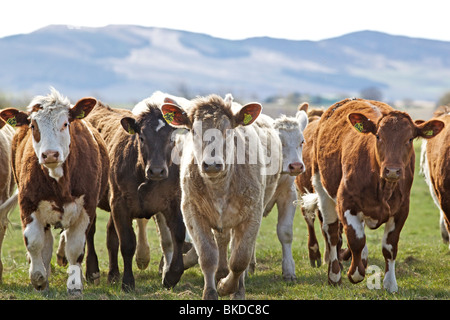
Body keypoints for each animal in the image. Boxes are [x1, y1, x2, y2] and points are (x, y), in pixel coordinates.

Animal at [0, 89, 109, 294]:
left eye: (65, 123)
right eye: (33, 125)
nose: (50, 154)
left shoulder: (86, 209)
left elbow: (75, 248)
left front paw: (75, 285)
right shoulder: (28, 205)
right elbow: (34, 242)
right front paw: (39, 278)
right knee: (47, 241)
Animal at [161, 94, 282, 298]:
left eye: (228, 130)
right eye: (194, 131)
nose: (211, 164)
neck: (219, 188)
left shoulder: (252, 215)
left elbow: (240, 259)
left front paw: (228, 287)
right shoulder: (192, 213)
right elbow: (208, 255)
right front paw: (210, 291)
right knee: (221, 242)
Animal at [302, 98, 442, 292]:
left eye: (409, 139)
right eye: (378, 136)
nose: (393, 170)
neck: (382, 187)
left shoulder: (401, 209)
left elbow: (389, 246)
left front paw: (390, 283)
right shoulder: (346, 203)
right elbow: (356, 240)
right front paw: (355, 273)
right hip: (321, 188)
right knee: (331, 233)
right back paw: (335, 274)